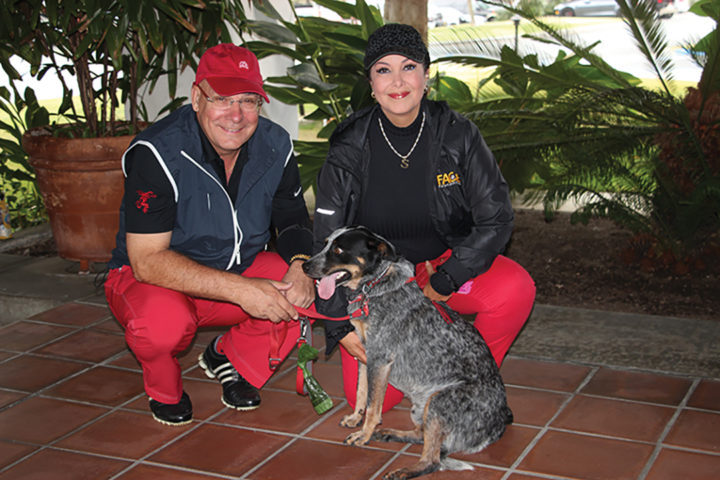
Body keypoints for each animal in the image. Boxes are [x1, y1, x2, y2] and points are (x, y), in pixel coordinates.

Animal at [304, 227, 512, 478]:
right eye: (325, 244)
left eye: (338, 250)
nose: (304, 266)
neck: (373, 288)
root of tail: (499, 425)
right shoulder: (364, 355)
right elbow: (361, 393)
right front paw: (355, 418)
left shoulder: (379, 360)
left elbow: (373, 406)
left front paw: (364, 434)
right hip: (423, 408)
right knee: (423, 436)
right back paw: (391, 433)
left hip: (439, 401)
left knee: (433, 460)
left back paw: (402, 470)